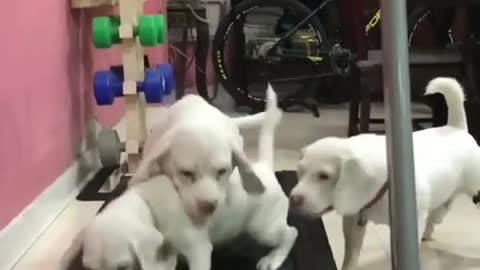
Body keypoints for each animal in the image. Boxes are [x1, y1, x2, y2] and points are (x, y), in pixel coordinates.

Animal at [290, 76, 480, 270]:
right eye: (300, 172)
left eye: (324, 176)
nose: (293, 199)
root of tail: (457, 128)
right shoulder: (352, 224)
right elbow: (351, 255)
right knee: (439, 210)